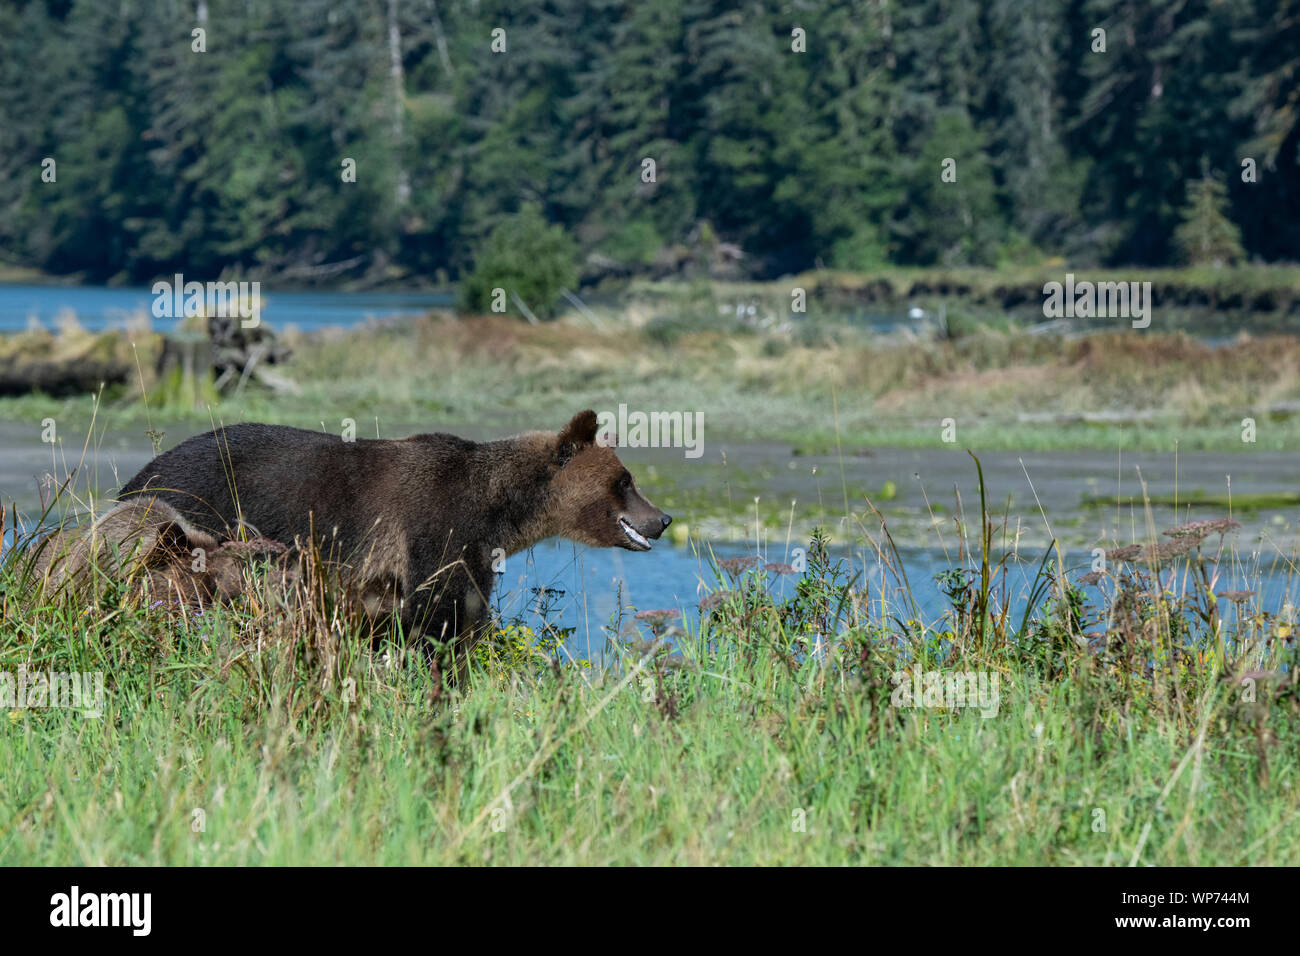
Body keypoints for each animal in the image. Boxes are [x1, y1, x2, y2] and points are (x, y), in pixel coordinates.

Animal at [118, 408, 670, 665]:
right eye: (625, 480)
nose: (661, 518)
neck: (499, 507)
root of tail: (138, 476)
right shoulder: (438, 530)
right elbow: (442, 619)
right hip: (196, 515)